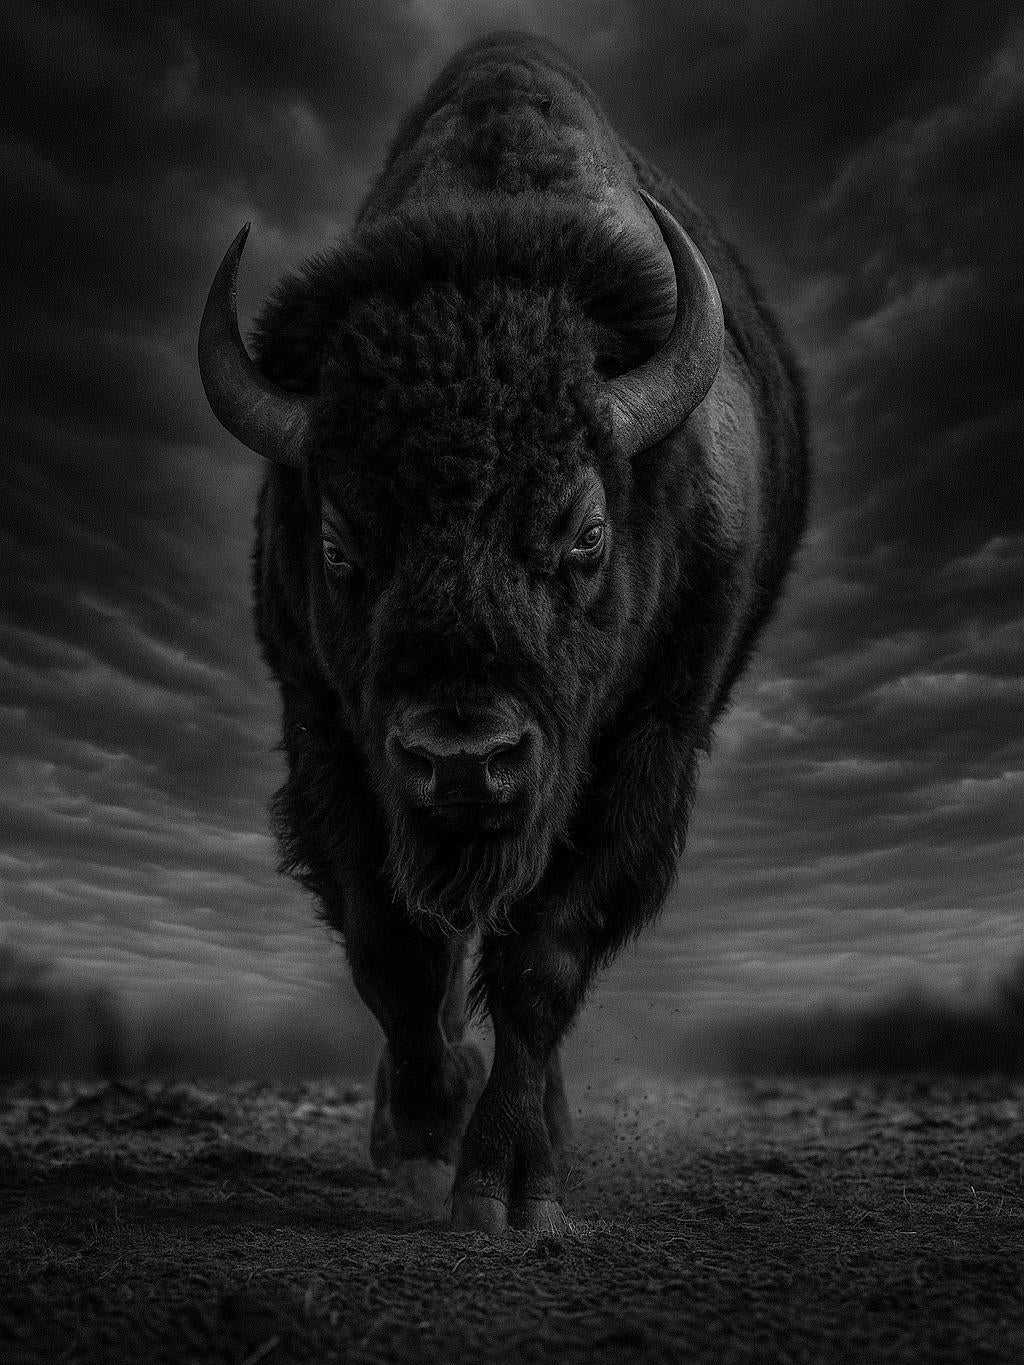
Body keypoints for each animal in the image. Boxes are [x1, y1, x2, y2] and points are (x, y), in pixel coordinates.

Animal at [199, 32, 809, 1232]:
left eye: (585, 532)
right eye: (338, 544)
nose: (463, 761)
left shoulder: (645, 747)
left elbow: (542, 961)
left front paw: (504, 1190)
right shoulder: (328, 735)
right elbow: (395, 950)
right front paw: (424, 1133)